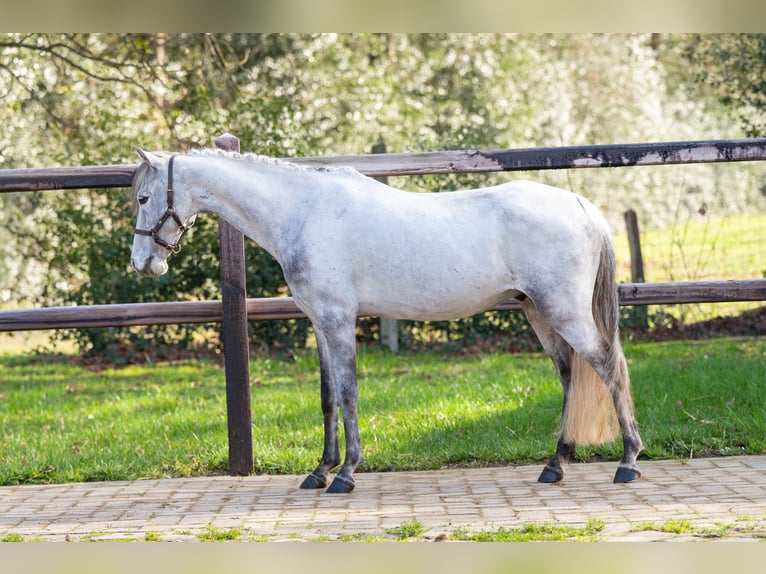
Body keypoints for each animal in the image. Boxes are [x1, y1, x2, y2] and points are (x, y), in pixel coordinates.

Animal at [129, 147, 644, 494]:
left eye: (143, 197)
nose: (142, 264)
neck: (305, 212)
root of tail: (578, 203)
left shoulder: (339, 319)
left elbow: (349, 392)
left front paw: (346, 473)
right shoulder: (320, 322)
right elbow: (328, 397)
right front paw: (320, 470)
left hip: (563, 311)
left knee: (609, 366)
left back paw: (628, 461)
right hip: (538, 311)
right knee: (570, 373)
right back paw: (556, 464)